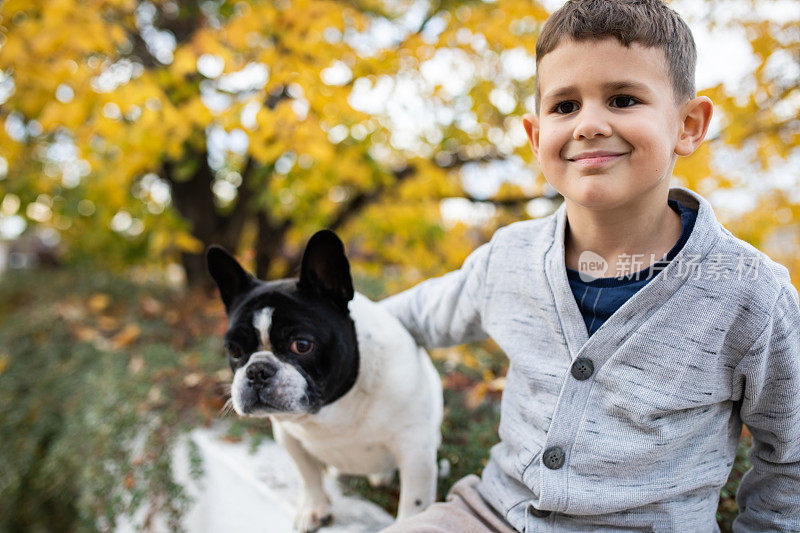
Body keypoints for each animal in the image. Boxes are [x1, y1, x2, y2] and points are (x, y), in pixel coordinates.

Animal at [206, 231, 444, 528]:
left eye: (302, 345)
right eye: (235, 351)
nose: (257, 370)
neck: (331, 410)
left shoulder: (415, 452)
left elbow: (414, 504)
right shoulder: (289, 437)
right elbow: (307, 475)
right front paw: (314, 508)